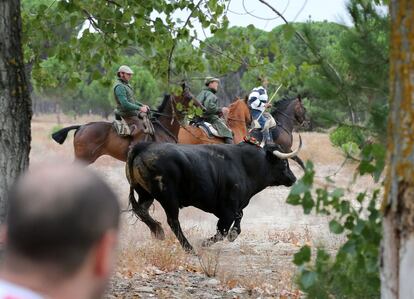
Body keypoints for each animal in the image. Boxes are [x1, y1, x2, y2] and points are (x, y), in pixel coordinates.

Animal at [125, 139, 300, 253]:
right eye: (284, 163)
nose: (293, 178)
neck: (245, 165)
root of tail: (144, 146)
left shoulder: (235, 206)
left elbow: (238, 219)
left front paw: (233, 234)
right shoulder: (228, 208)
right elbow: (222, 231)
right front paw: (204, 243)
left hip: (145, 193)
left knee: (142, 211)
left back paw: (158, 231)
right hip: (168, 198)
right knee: (173, 221)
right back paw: (189, 248)